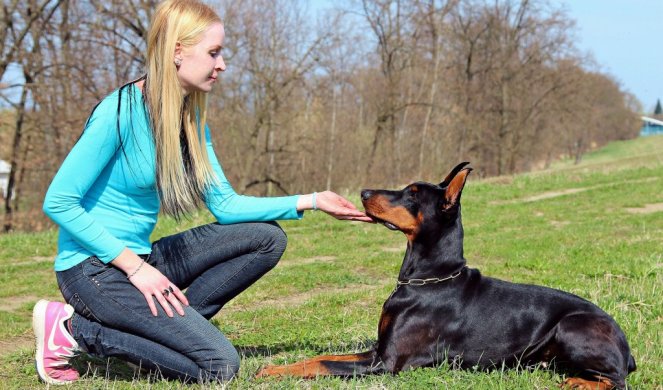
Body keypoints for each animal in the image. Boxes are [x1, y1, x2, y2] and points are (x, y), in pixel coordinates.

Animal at [256, 161, 636, 386]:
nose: (363, 193)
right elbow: (318, 358)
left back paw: (579, 382)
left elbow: (323, 365)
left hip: (571, 326)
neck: (428, 279)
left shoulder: (387, 363)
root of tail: (626, 348)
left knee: (617, 380)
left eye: (412, 194)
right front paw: (273, 368)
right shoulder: (378, 350)